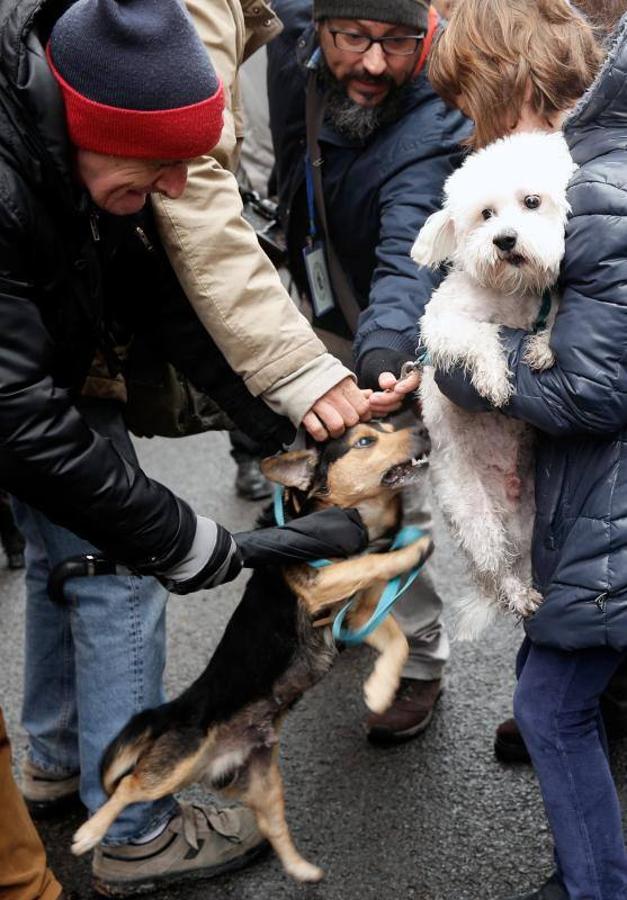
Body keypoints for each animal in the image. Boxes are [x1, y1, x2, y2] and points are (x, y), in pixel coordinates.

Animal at [70, 418, 432, 884]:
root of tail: (177, 709)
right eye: (366, 441)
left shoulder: (358, 615)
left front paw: (380, 691)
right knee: (130, 787)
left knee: (272, 825)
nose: (422, 427)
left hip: (263, 781)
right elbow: (371, 563)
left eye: (389, 425)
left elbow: (398, 641)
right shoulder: (321, 584)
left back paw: (301, 869)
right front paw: (411, 550)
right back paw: (89, 833)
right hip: (176, 762)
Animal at [412, 134, 580, 640]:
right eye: (485, 214)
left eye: (532, 202)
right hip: (474, 520)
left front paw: (541, 347)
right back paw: (516, 596)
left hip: (528, 521)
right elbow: (483, 338)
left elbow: (553, 323)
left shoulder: (547, 304)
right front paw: (493, 380)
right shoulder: (444, 328)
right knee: (496, 570)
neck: (512, 292)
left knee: (519, 560)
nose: (504, 239)